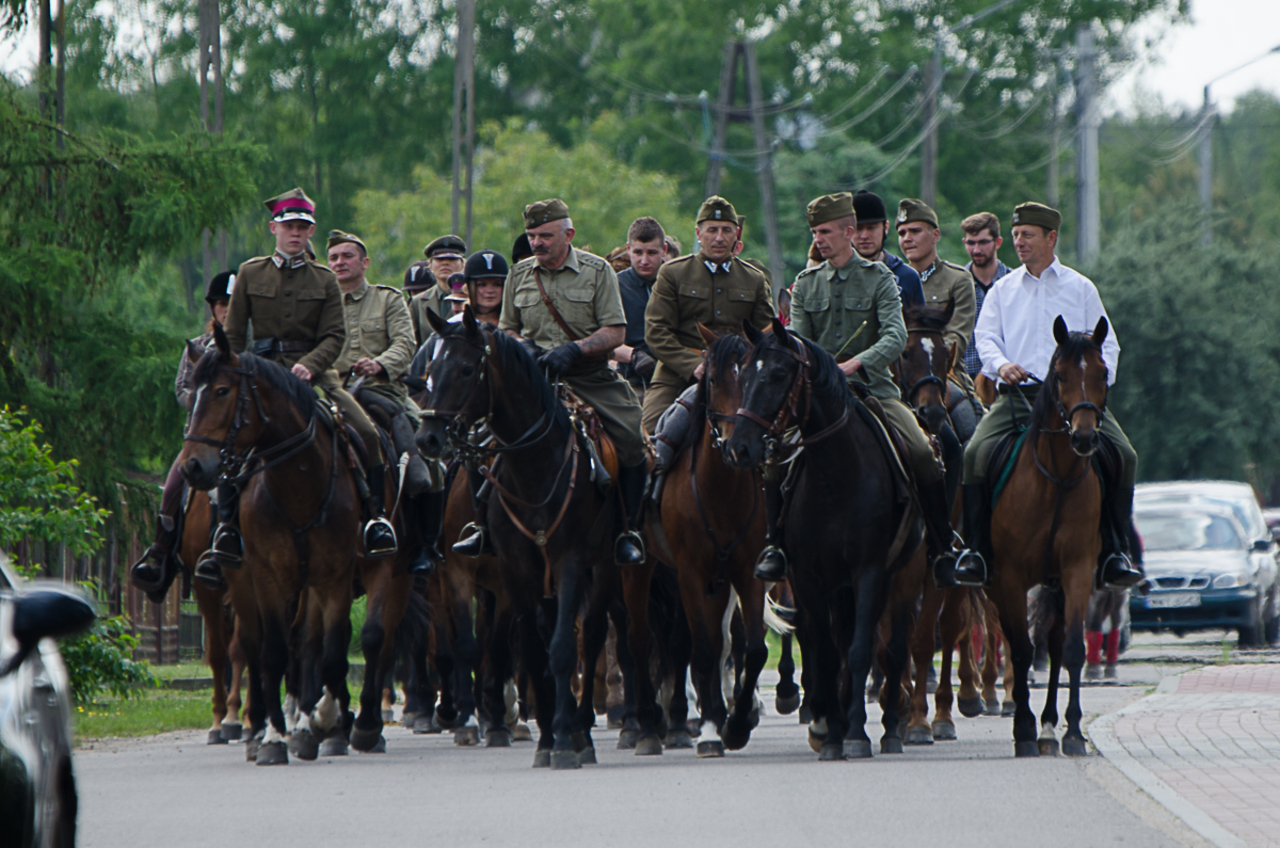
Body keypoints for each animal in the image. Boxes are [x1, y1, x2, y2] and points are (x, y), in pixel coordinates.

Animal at [417, 308, 622, 773]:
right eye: (429, 371)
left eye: (466, 368)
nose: (428, 438)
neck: (535, 466)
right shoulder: (512, 569)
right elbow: (529, 649)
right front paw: (546, 737)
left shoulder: (567, 562)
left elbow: (562, 647)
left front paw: (564, 738)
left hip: (602, 567)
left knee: (592, 635)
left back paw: (583, 728)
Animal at [645, 326, 773, 758]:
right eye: (713, 380)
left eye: (752, 378)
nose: (739, 448)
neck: (721, 489)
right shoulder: (688, 573)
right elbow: (698, 647)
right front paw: (712, 727)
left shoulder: (747, 572)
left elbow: (751, 648)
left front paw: (735, 723)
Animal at [727, 320, 926, 763]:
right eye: (743, 375)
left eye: (778, 374)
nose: (739, 447)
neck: (835, 474)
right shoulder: (807, 578)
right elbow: (826, 651)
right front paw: (833, 734)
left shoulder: (868, 571)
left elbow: (859, 649)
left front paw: (854, 734)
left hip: (901, 577)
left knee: (892, 648)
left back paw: (891, 728)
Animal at [983, 317, 1116, 758]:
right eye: (1059, 375)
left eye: (1102, 373)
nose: (1084, 438)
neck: (1055, 478)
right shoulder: (1008, 577)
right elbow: (1021, 650)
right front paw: (1023, 727)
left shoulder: (1076, 570)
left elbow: (1072, 648)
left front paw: (1072, 732)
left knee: (1056, 645)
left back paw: (1048, 727)